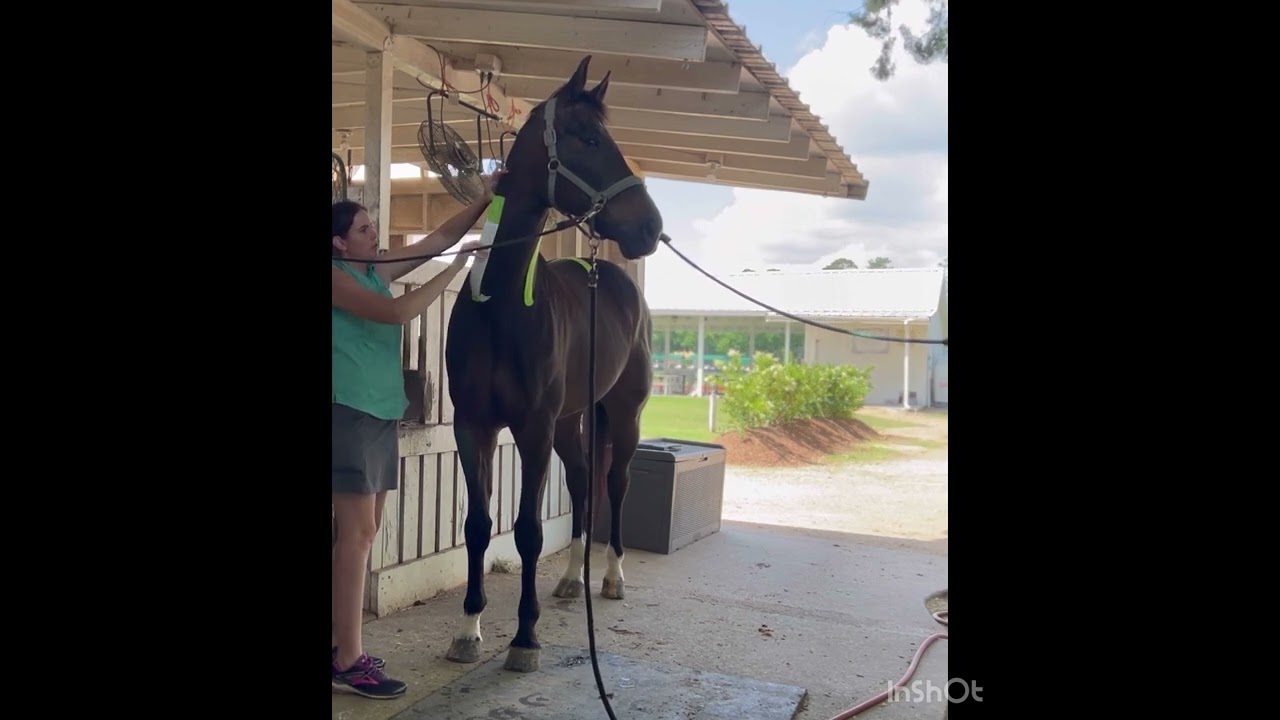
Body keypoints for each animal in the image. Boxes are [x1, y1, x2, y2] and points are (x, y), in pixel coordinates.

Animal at [441, 54, 665, 674]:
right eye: (588, 138)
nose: (651, 227)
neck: (499, 307)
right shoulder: (475, 427)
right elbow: (478, 526)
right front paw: (468, 629)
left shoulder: (532, 430)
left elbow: (527, 531)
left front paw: (524, 636)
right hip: (570, 422)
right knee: (586, 480)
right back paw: (571, 579)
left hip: (623, 415)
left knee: (615, 482)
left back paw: (610, 577)